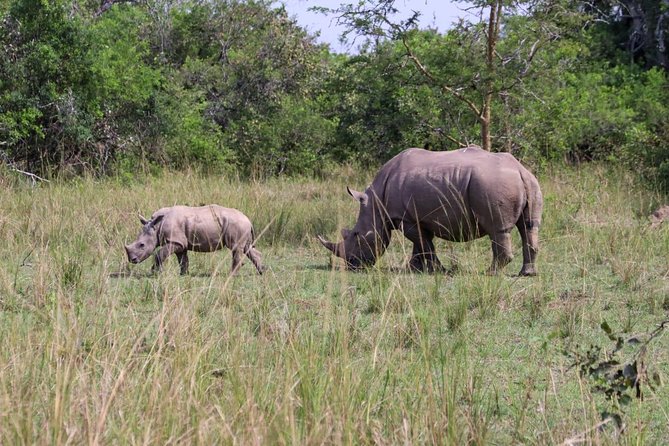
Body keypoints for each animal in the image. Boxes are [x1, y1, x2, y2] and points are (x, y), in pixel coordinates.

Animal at [124, 206, 262, 276]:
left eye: (141, 245)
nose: (132, 260)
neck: (157, 226)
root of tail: (248, 220)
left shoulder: (175, 240)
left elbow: (159, 254)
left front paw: (154, 273)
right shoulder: (180, 242)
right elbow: (182, 259)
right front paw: (184, 274)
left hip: (237, 224)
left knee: (236, 248)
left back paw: (231, 275)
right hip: (240, 225)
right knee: (247, 248)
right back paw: (262, 271)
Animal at [318, 147, 544, 276]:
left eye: (356, 235)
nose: (352, 265)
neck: (376, 204)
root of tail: (520, 171)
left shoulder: (405, 218)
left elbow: (424, 244)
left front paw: (437, 270)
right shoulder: (415, 217)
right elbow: (420, 244)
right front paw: (414, 269)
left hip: (493, 184)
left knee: (498, 230)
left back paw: (490, 273)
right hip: (531, 183)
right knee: (529, 227)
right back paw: (527, 274)